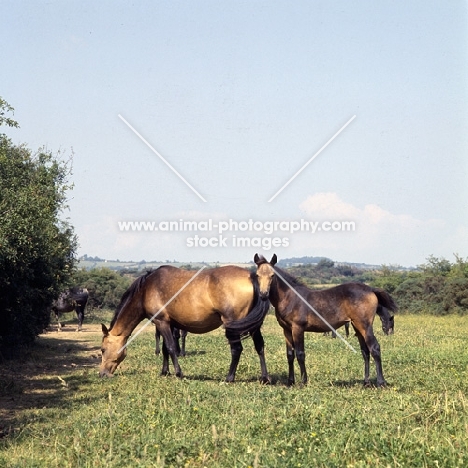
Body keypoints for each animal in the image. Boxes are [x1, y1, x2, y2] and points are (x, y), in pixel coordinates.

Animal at [99, 266, 270, 382]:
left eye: (102, 349)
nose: (101, 373)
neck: (147, 289)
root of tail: (251, 276)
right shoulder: (167, 323)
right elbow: (165, 349)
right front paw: (165, 371)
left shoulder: (161, 322)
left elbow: (170, 347)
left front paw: (178, 373)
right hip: (252, 325)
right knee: (259, 346)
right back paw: (265, 377)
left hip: (232, 324)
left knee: (237, 349)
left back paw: (229, 377)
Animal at [245, 256, 394, 388]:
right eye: (257, 275)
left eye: (272, 275)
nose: (263, 295)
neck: (290, 297)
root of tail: (371, 289)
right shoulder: (286, 330)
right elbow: (290, 355)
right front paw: (290, 382)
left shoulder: (298, 328)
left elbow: (300, 354)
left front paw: (303, 382)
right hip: (357, 326)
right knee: (365, 352)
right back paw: (366, 382)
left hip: (365, 326)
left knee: (374, 348)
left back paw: (381, 383)